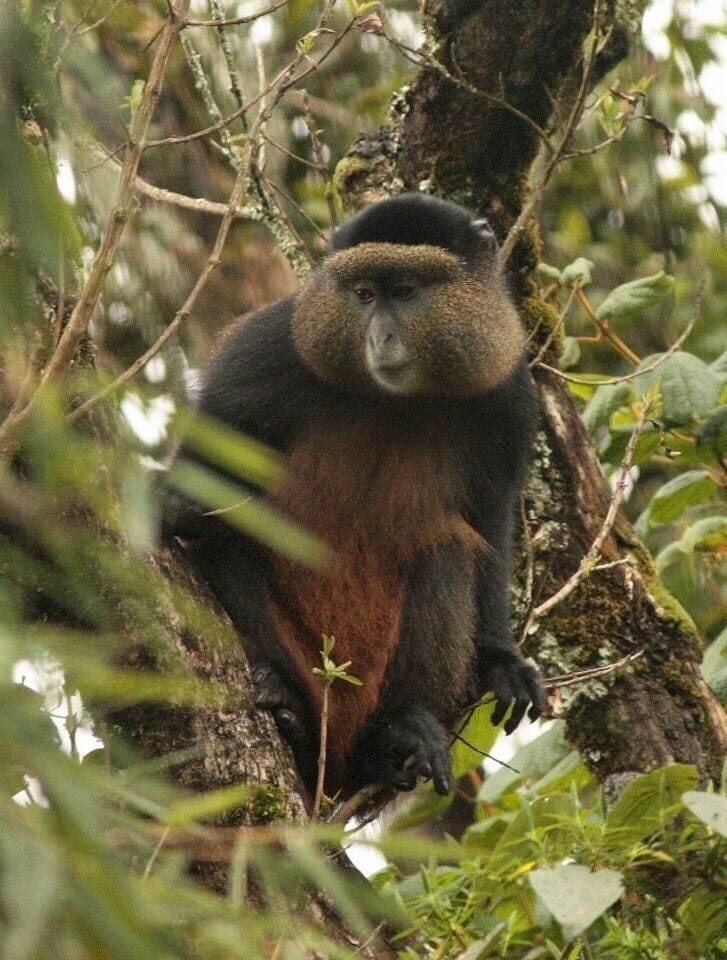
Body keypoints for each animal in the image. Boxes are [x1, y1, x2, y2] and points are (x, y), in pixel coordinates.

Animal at [164, 193, 545, 800]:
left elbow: (488, 516)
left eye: (406, 291)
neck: (391, 398)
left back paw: (393, 734)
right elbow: (209, 464)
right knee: (232, 536)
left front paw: (500, 659)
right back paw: (289, 709)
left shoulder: (507, 392)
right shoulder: (267, 351)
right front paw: (177, 509)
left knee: (445, 551)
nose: (380, 337)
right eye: (364, 294)